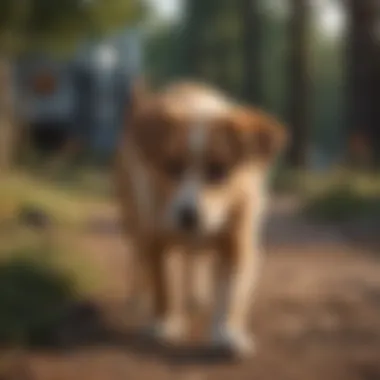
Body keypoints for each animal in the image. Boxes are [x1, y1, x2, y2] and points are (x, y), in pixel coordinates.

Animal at [114, 81, 286, 358]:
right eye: (171, 166)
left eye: (219, 170)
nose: (189, 216)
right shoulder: (155, 239)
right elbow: (163, 285)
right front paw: (164, 325)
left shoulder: (238, 243)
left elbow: (230, 294)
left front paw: (227, 334)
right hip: (133, 219)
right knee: (138, 260)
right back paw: (139, 297)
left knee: (194, 261)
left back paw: (198, 295)